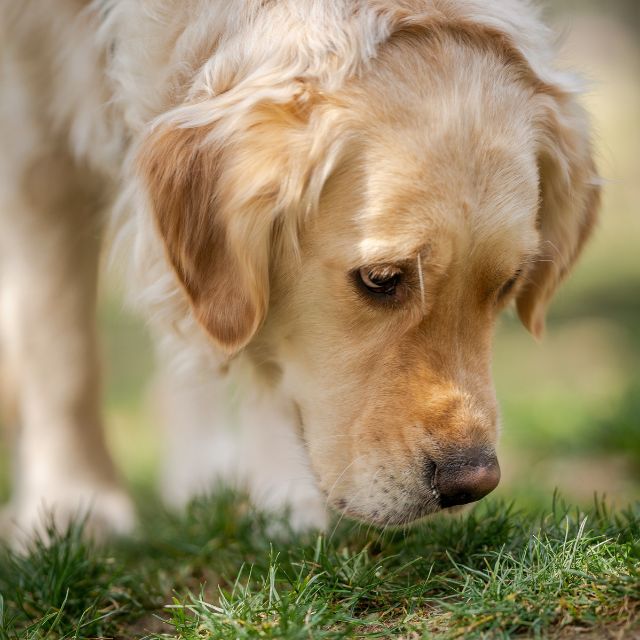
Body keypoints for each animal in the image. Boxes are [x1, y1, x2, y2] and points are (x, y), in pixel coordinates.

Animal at [0, 0, 600, 540]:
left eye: (508, 285)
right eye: (382, 279)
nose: (470, 483)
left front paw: (284, 501)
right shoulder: (31, 128)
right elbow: (63, 353)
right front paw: (73, 503)